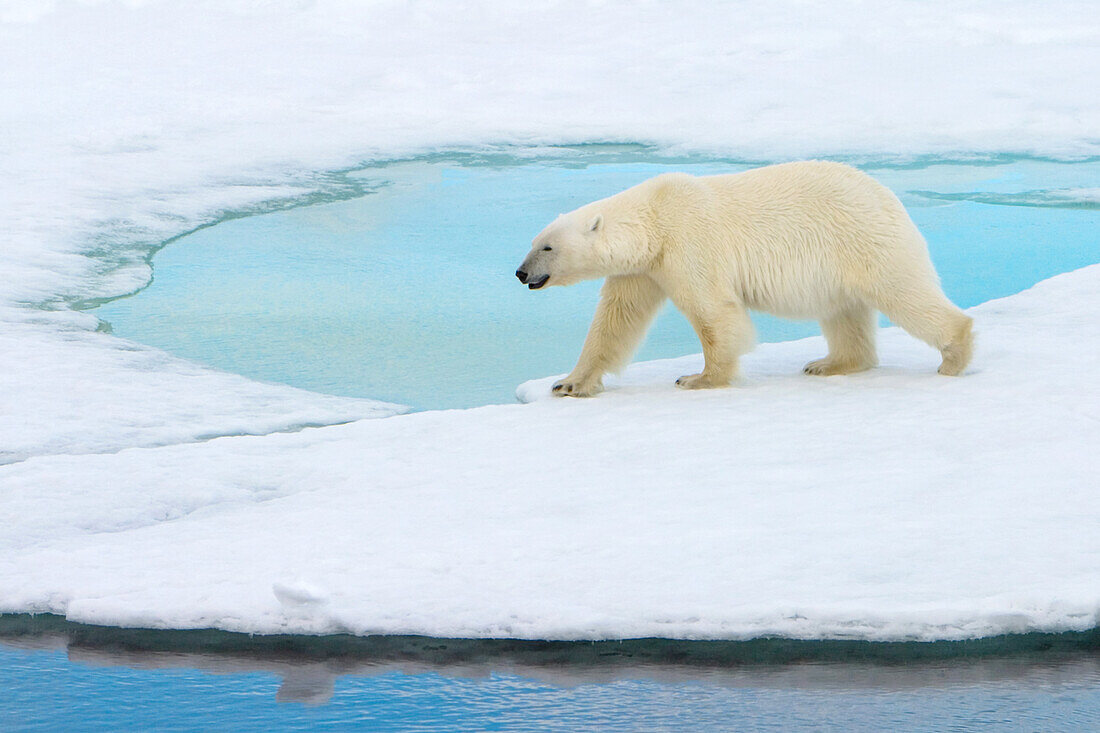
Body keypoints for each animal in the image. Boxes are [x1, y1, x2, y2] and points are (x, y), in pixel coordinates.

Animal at [514, 161, 972, 396]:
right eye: (533, 242)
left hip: (865, 241)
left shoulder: (688, 241)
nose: (520, 273)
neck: (655, 218)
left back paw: (954, 355)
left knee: (905, 293)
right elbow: (615, 321)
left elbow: (713, 311)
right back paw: (827, 363)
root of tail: (890, 196)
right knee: (844, 313)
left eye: (547, 248)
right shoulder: (644, 268)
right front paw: (568, 383)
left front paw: (698, 378)